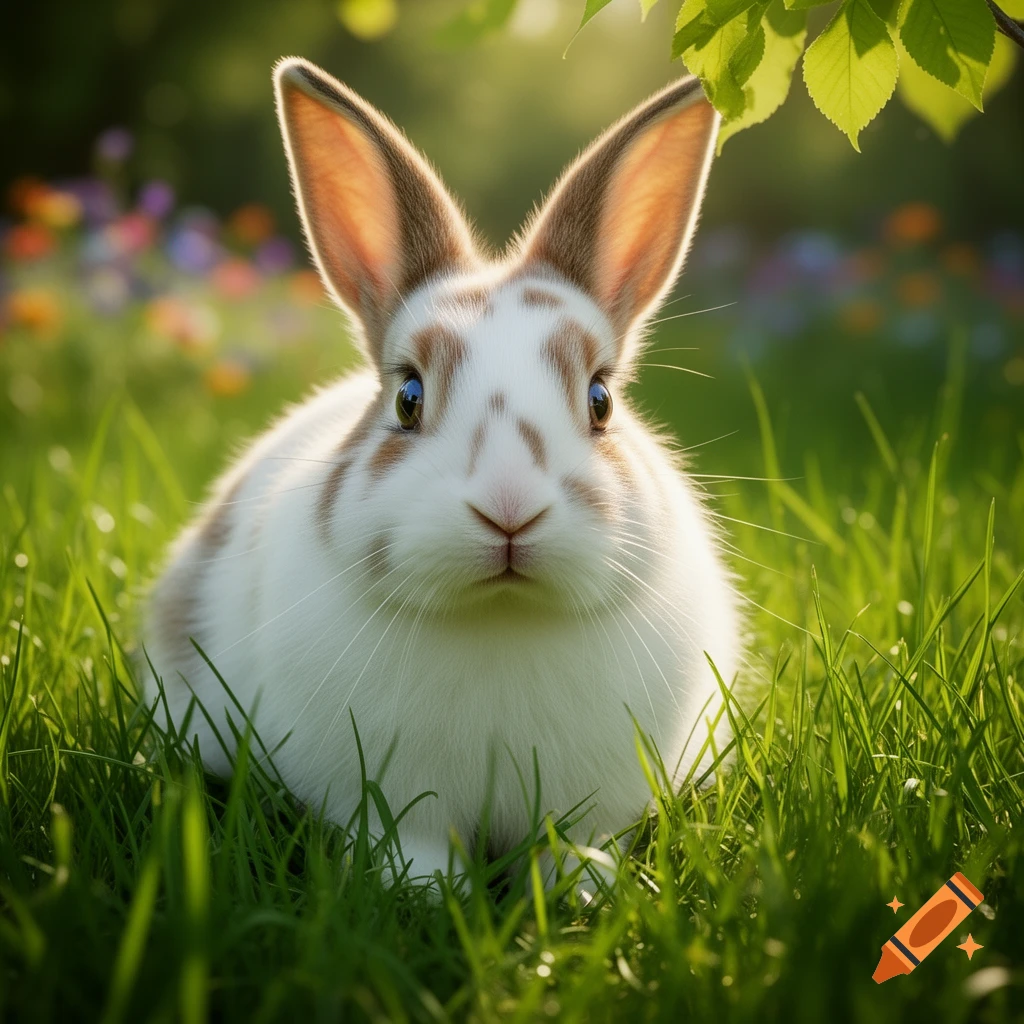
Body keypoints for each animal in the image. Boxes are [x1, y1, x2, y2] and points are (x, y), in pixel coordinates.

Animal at [143, 56, 742, 890]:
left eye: (601, 400)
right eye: (408, 396)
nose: (509, 509)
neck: (500, 617)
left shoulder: (592, 804)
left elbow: (578, 842)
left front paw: (585, 890)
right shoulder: (393, 801)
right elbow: (414, 847)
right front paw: (428, 894)